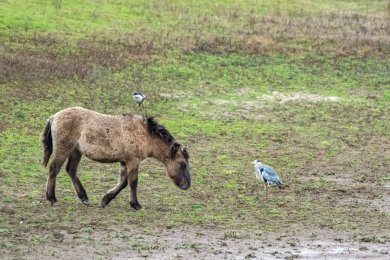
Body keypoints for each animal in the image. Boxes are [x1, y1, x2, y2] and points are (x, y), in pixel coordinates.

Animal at [41, 106, 190, 210]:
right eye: (182, 164)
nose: (187, 185)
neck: (143, 134)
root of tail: (54, 117)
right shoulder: (133, 161)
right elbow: (133, 182)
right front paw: (136, 204)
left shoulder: (124, 161)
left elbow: (123, 182)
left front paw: (105, 199)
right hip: (64, 149)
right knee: (54, 169)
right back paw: (52, 198)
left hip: (76, 151)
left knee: (71, 170)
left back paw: (84, 197)